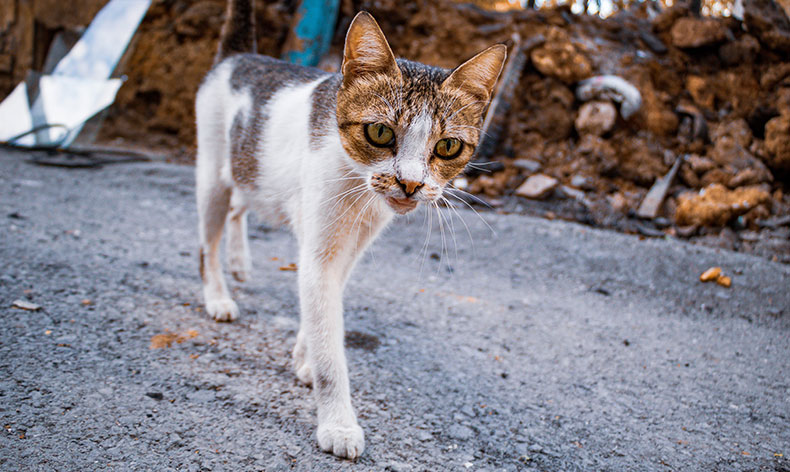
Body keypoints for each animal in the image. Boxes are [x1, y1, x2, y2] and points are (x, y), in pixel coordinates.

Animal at [195, 0, 505, 459]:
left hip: (248, 175)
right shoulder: (320, 251)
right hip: (214, 174)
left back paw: (240, 262)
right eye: (379, 132)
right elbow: (330, 347)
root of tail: (240, 57)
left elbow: (322, 310)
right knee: (207, 241)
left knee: (239, 208)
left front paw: (304, 355)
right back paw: (218, 294)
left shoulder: (349, 247)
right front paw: (338, 422)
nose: (410, 184)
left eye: (447, 146)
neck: (360, 191)